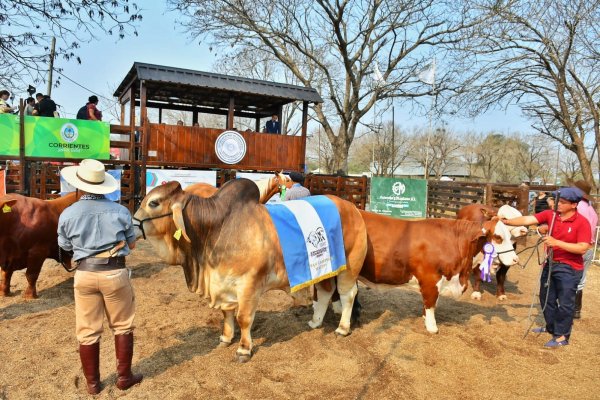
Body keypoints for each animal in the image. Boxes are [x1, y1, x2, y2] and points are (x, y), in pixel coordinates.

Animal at [133, 178, 366, 362]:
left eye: (154, 202)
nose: (131, 225)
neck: (216, 228)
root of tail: (352, 207)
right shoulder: (223, 283)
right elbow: (227, 313)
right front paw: (226, 338)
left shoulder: (249, 284)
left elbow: (244, 317)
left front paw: (244, 349)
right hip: (325, 269)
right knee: (326, 292)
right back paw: (315, 322)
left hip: (349, 267)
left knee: (347, 294)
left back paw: (342, 328)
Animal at [356, 209, 520, 334]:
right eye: (498, 237)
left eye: (510, 236)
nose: (515, 260)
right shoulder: (430, 279)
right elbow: (431, 302)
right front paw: (432, 327)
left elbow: (432, 302)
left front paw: (425, 318)